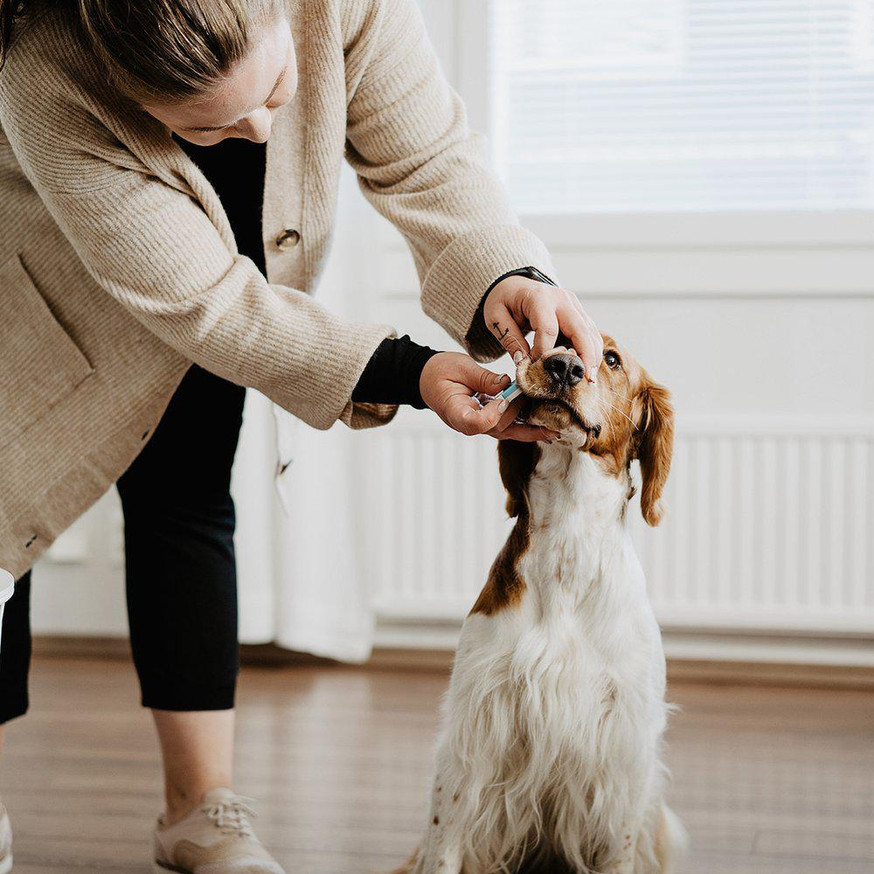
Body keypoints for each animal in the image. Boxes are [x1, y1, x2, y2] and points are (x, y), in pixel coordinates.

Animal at [394, 338, 680, 868]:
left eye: (612, 359)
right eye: (549, 344)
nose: (563, 366)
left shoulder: (625, 749)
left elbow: (620, 847)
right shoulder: (473, 733)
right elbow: (445, 844)